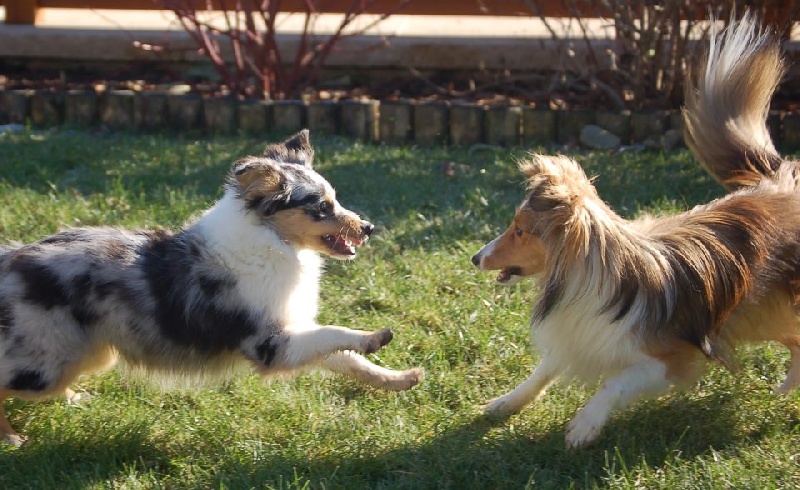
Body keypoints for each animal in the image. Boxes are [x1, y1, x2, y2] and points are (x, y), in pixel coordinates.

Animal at [0, 131, 422, 448]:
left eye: (335, 199)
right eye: (321, 207)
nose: (368, 228)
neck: (271, 241)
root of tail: (11, 259)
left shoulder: (291, 333)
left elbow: (345, 357)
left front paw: (401, 378)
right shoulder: (271, 344)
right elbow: (336, 334)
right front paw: (374, 337)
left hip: (88, 352)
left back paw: (74, 399)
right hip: (45, 362)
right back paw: (13, 438)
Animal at [468, 16, 800, 448]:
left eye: (520, 230)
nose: (475, 258)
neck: (583, 275)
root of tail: (780, 184)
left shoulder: (673, 358)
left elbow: (615, 384)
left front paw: (585, 425)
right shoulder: (578, 334)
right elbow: (542, 372)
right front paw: (505, 403)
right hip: (761, 315)